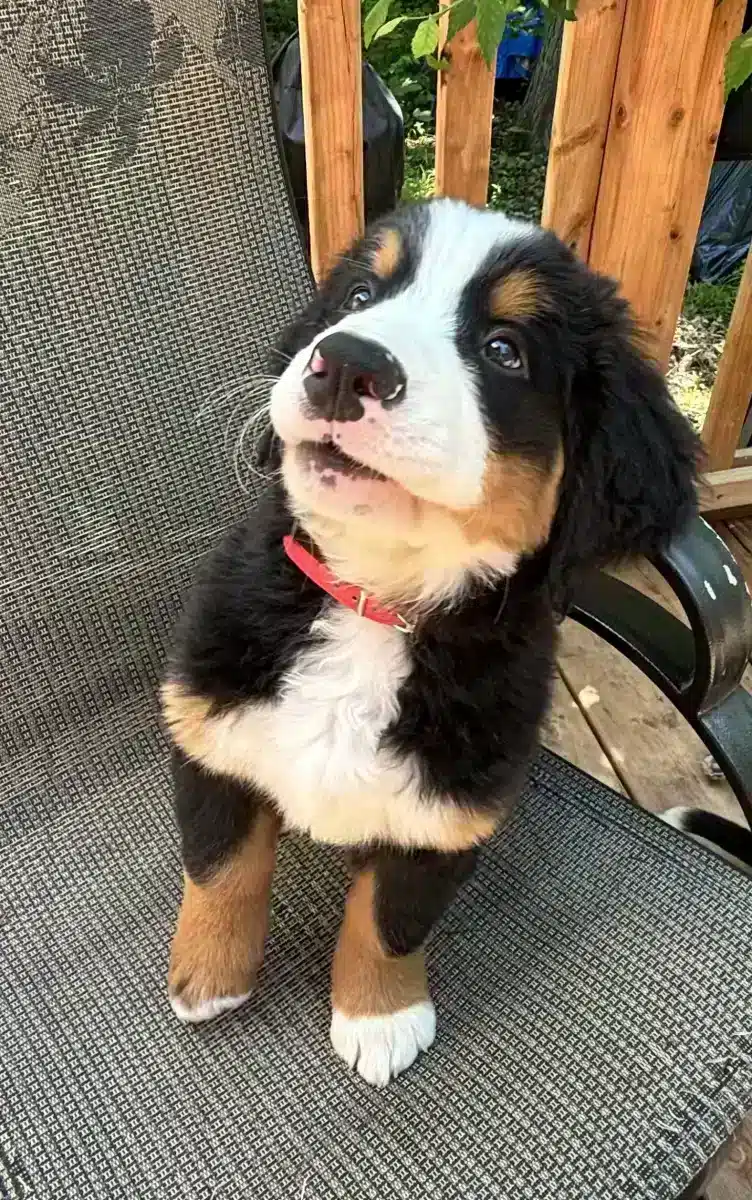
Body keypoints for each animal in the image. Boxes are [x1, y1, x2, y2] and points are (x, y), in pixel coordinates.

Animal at [163, 199, 700, 1089]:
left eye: (504, 349)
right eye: (358, 297)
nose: (346, 365)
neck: (375, 608)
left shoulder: (448, 808)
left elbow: (391, 918)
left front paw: (380, 1018)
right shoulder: (209, 725)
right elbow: (221, 866)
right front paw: (208, 976)